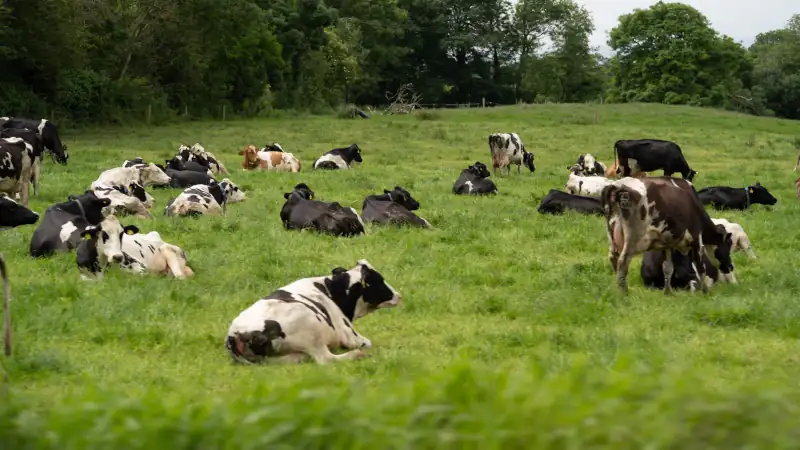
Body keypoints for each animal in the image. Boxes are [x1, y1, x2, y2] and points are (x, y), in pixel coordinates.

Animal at [225, 259, 401, 365]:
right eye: (380, 280)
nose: (399, 295)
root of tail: (236, 334)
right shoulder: (350, 335)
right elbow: (367, 343)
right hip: (310, 327)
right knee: (326, 359)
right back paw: (356, 355)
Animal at [601, 176, 735, 295]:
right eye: (728, 245)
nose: (730, 267)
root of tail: (618, 185)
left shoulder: (667, 244)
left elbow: (667, 268)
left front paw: (668, 292)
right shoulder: (696, 237)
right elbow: (701, 267)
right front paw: (706, 291)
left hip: (612, 234)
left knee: (613, 258)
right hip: (633, 238)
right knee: (622, 261)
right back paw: (624, 292)